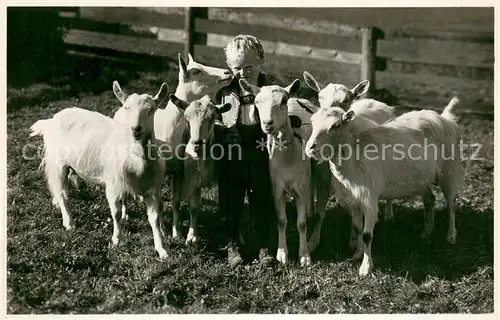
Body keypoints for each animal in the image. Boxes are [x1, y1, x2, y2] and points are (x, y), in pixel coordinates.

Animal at [29, 81, 170, 258]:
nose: (135, 128)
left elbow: (154, 218)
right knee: (61, 193)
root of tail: (51, 120)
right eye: (126, 107)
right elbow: (116, 214)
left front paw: (162, 249)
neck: (137, 160)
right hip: (57, 162)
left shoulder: (151, 189)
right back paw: (69, 223)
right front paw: (116, 240)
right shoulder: (113, 186)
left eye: (151, 109)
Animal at [167, 94, 231, 244]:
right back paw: (176, 232)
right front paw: (192, 236)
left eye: (212, 117)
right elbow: (194, 207)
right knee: (175, 202)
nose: (197, 143)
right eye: (187, 117)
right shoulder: (193, 179)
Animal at [306, 97, 462, 276]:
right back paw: (427, 231)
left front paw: (366, 268)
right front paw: (358, 254)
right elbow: (358, 228)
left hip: (449, 170)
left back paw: (451, 236)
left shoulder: (369, 198)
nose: (310, 148)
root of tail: (445, 118)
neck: (354, 158)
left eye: (336, 125)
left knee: (451, 204)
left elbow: (367, 234)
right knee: (430, 199)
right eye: (312, 122)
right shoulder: (354, 200)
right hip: (422, 179)